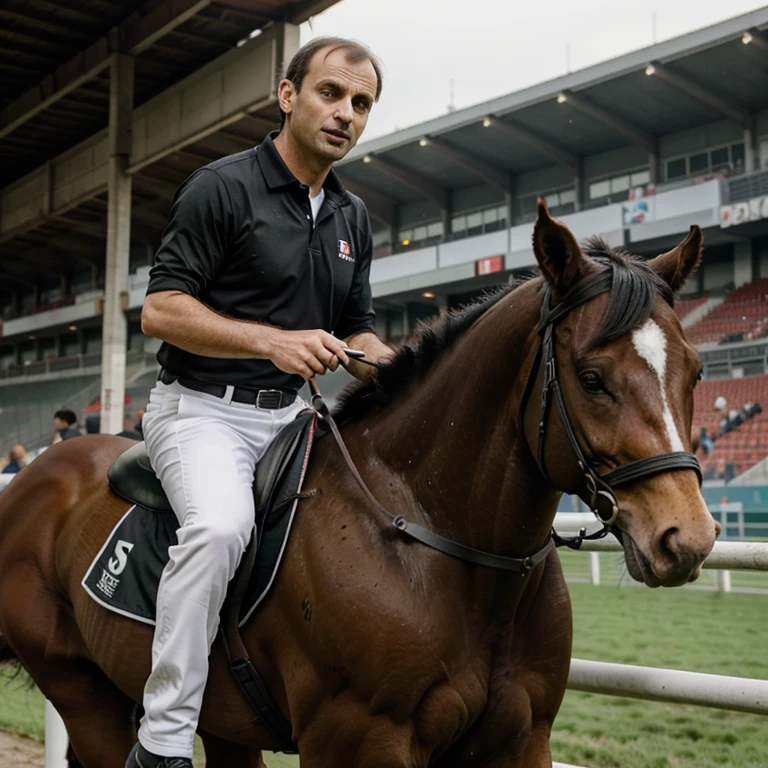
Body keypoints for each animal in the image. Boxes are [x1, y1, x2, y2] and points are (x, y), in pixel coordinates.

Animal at [0, 204, 712, 768]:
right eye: (591, 377)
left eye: (698, 371)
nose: (687, 539)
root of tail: (35, 475)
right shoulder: (356, 740)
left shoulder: (520, 739)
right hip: (83, 692)